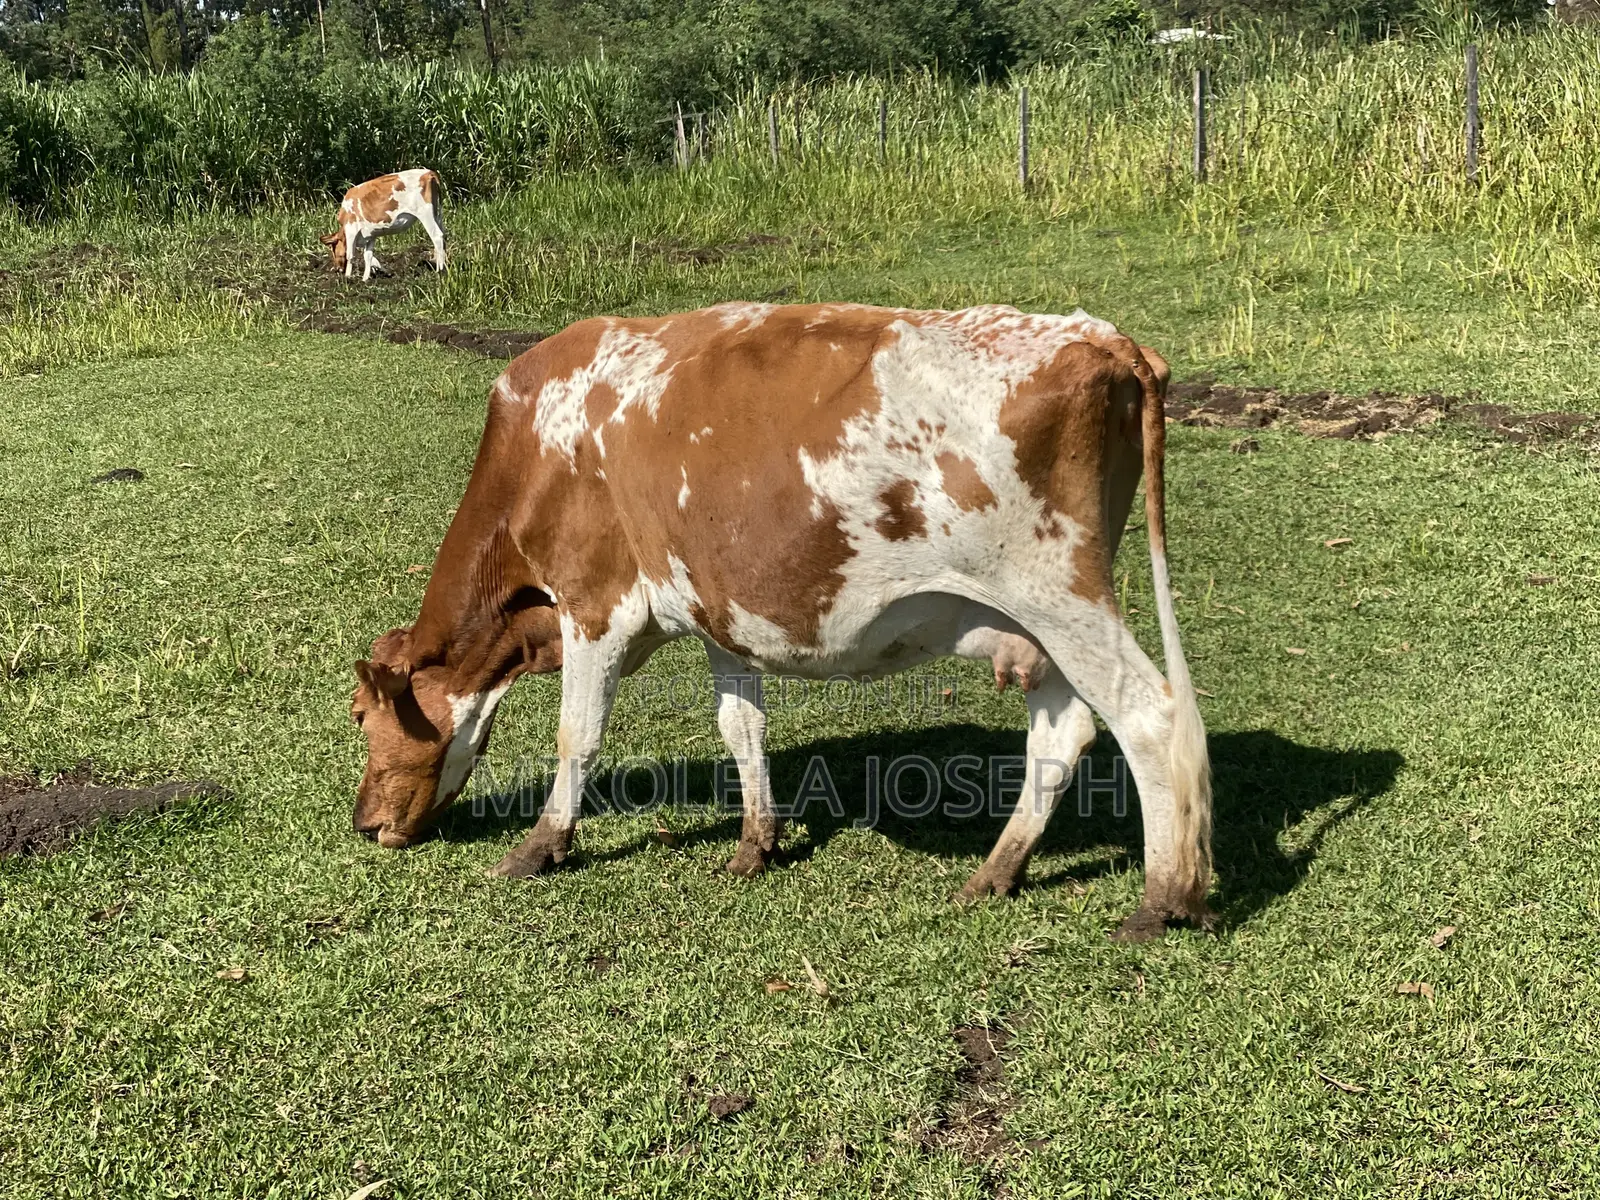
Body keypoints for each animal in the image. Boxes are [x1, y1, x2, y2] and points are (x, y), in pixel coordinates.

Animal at [349, 302, 1213, 940]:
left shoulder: (596, 604)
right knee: (1063, 731)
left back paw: (1163, 898)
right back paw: (997, 872)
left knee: (1150, 715)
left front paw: (539, 846)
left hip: (1059, 594)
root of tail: (1102, 336)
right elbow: (741, 727)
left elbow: (578, 736)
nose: (363, 823)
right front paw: (754, 844)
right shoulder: (715, 613)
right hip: (1041, 625)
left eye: (360, 716)